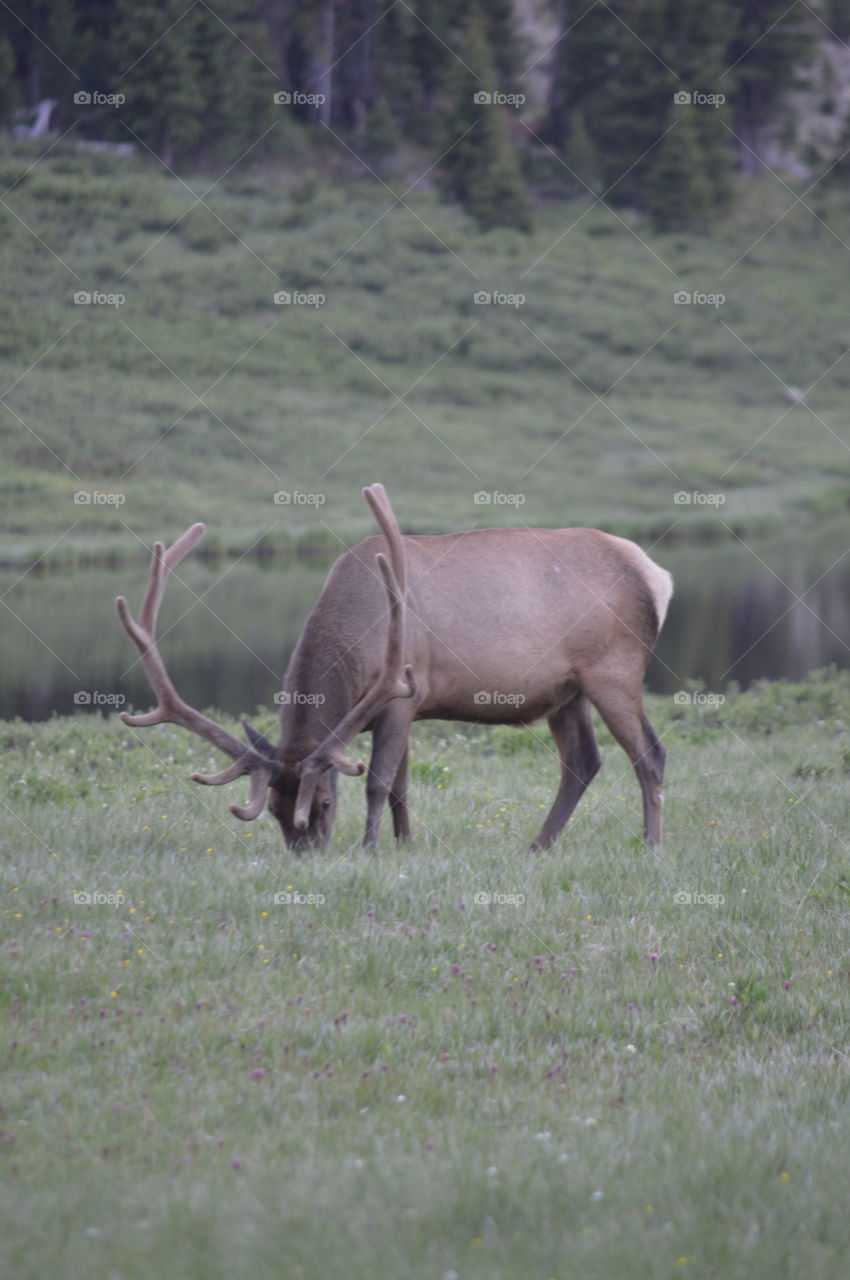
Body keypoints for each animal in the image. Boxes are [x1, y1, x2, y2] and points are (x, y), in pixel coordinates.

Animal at [116, 484, 672, 851]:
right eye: (273, 809)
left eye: (322, 803)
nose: (305, 854)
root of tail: (654, 573)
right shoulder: (407, 705)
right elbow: (402, 785)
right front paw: (405, 846)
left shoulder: (403, 690)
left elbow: (378, 781)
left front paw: (370, 850)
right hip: (566, 690)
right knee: (583, 761)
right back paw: (538, 847)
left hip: (614, 667)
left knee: (649, 753)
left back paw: (649, 844)